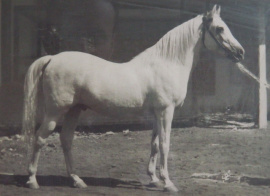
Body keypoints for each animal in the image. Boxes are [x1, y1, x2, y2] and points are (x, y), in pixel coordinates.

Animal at [23, 4, 245, 193]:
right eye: (219, 29)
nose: (240, 53)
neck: (168, 63)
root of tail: (52, 58)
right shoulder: (166, 111)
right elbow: (165, 144)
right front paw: (168, 183)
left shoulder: (157, 113)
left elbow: (154, 144)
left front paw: (154, 179)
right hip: (55, 112)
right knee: (40, 138)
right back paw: (32, 180)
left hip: (74, 110)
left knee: (66, 139)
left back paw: (76, 180)